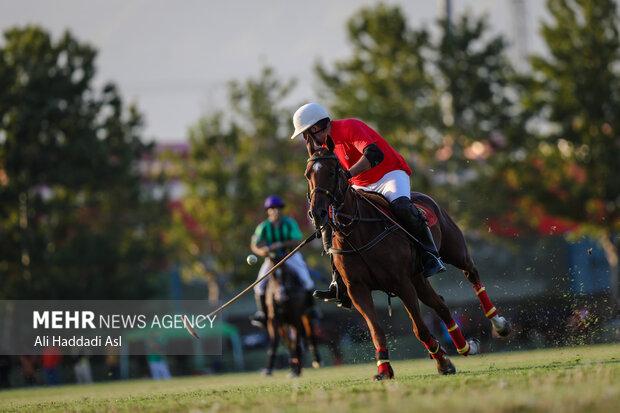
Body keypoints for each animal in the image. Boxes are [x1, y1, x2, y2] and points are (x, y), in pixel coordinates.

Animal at [306, 148, 508, 380]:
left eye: (332, 172)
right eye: (307, 175)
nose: (317, 213)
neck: (358, 231)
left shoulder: (401, 283)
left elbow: (419, 329)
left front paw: (443, 362)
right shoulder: (357, 289)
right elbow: (376, 329)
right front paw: (384, 369)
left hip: (453, 251)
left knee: (471, 273)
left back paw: (499, 324)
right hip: (418, 277)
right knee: (440, 304)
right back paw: (465, 346)